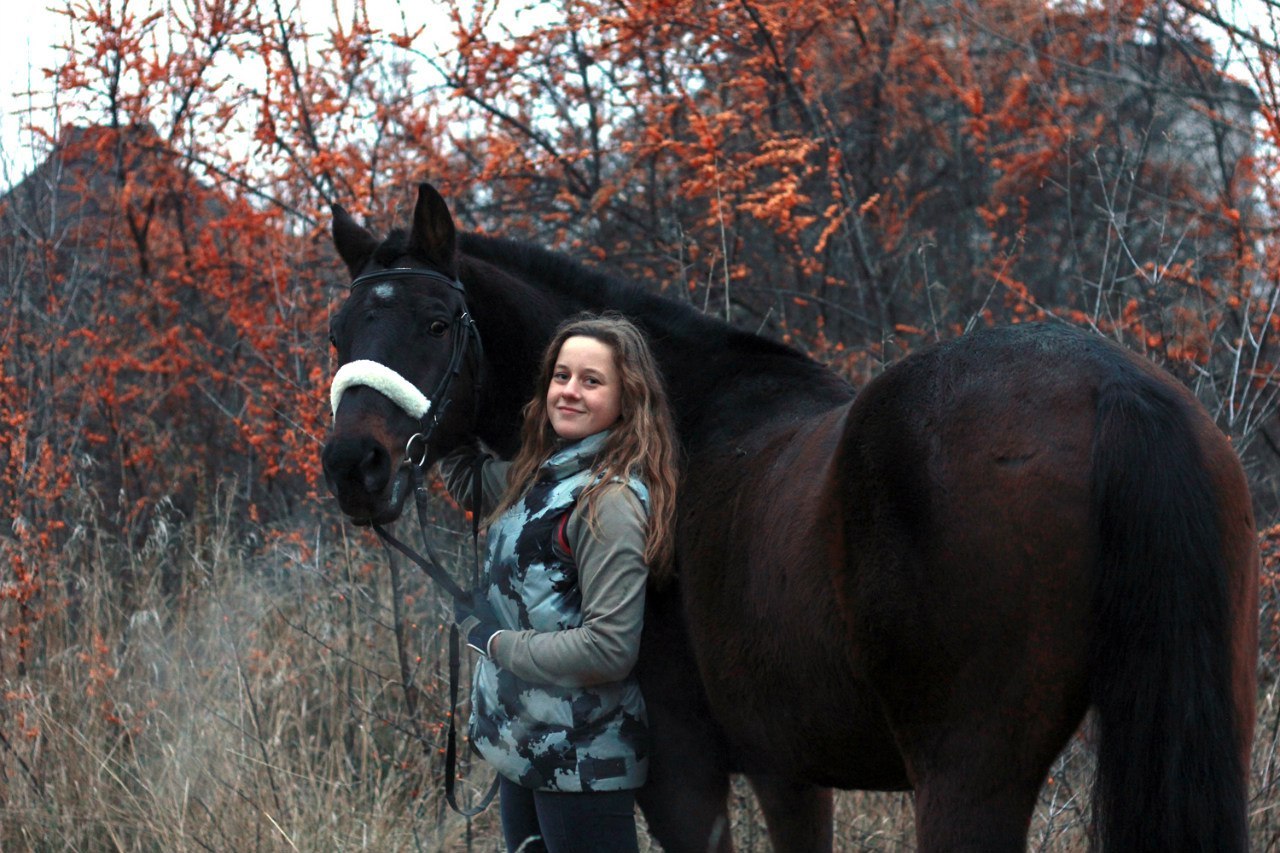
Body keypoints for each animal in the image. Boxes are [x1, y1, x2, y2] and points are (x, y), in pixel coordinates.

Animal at [322, 183, 1259, 845]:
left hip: (969, 775)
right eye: (338, 332)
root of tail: (1116, 388)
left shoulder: (687, 777)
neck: (679, 423)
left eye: (437, 321)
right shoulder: (792, 773)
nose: (353, 466)